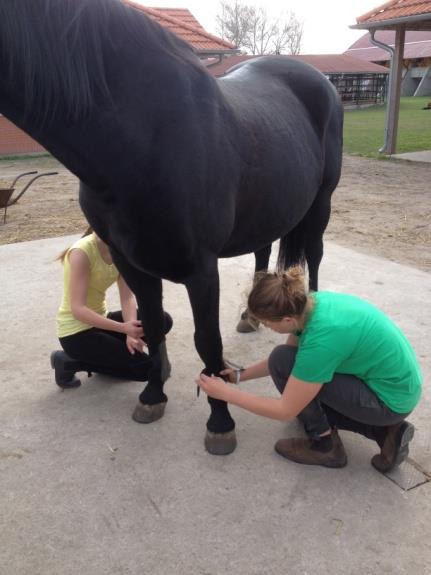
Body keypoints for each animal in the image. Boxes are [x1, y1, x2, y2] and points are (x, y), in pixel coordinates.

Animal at [0, 2, 344, 456]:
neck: (143, 137)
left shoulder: (201, 270)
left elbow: (207, 341)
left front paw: (220, 422)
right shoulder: (130, 262)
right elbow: (148, 323)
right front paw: (152, 395)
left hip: (321, 202)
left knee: (316, 259)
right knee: (262, 250)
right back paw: (249, 317)